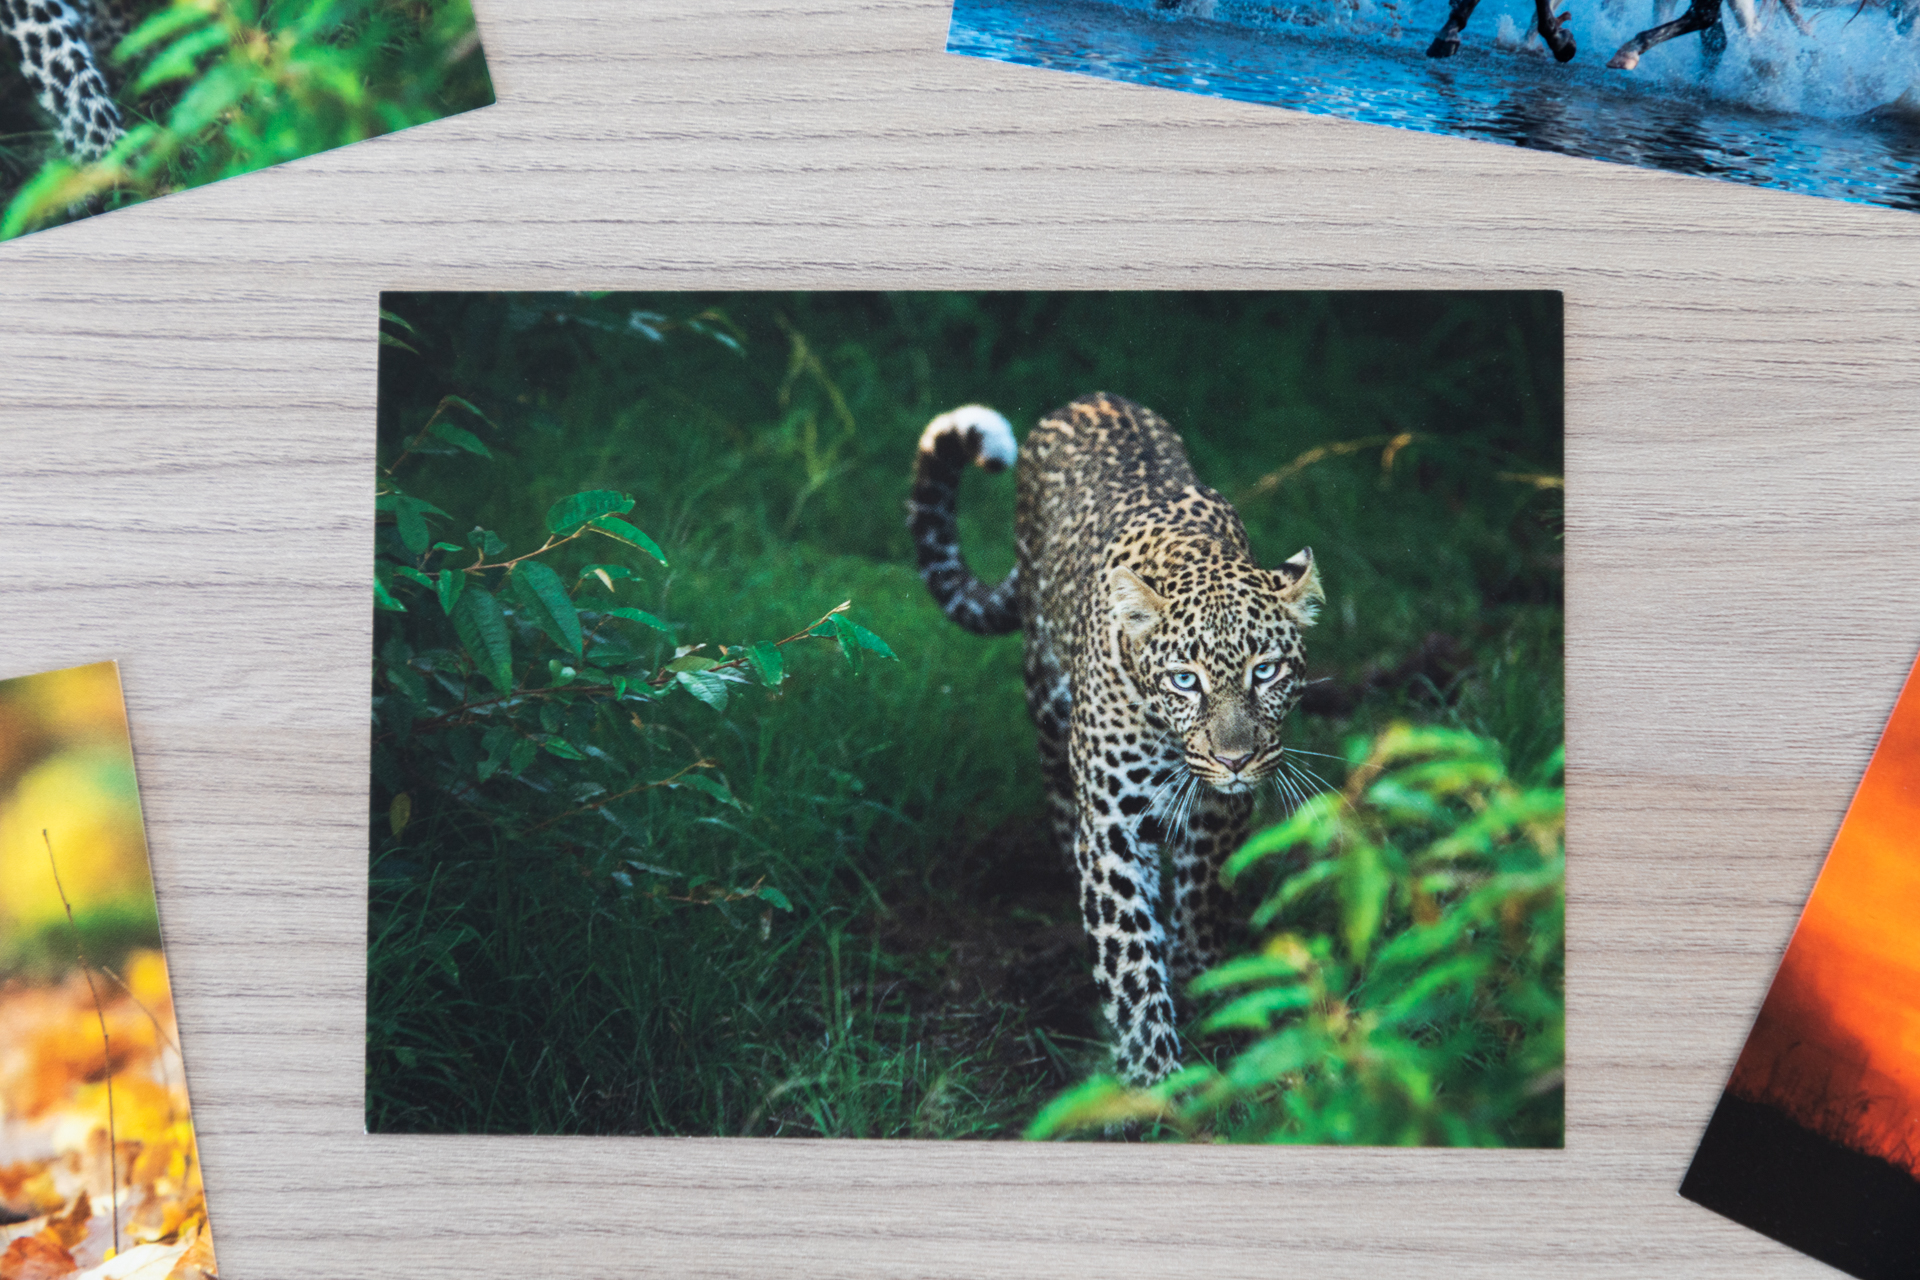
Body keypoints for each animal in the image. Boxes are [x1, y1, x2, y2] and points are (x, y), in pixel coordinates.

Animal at [909, 392, 1323, 1085]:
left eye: (1264, 671)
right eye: (1185, 680)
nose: (1235, 759)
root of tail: (1091, 398)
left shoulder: (1221, 812)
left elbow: (1203, 900)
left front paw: (1201, 983)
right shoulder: (1112, 827)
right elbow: (1130, 960)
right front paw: (1155, 1081)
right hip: (1046, 701)